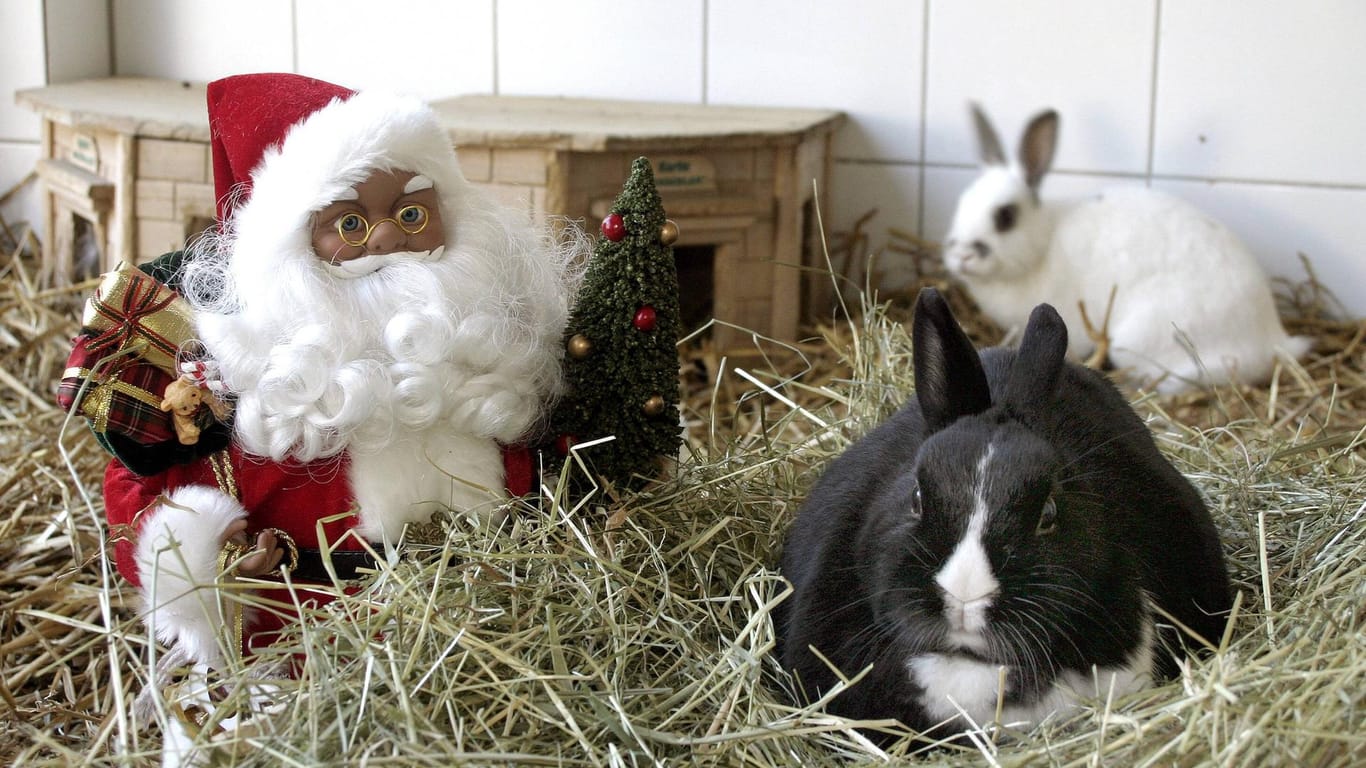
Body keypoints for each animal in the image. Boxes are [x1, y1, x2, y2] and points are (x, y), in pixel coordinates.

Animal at [939, 104, 1311, 390]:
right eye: (961, 205)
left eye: (1005, 216)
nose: (961, 255)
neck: (1040, 248)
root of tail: (1272, 338)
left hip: (1142, 341)